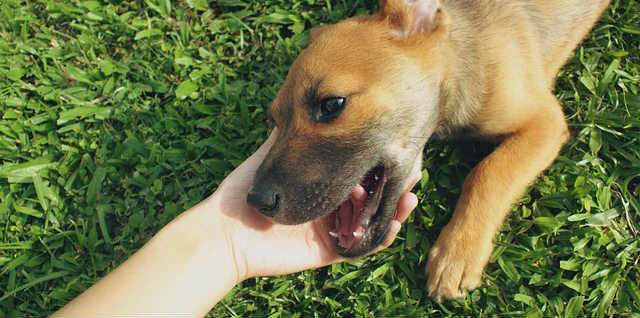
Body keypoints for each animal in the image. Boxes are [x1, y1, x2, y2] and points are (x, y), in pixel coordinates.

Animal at [245, 0, 608, 300]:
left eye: (332, 104)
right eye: (273, 121)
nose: (255, 202)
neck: (458, 57)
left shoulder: (545, 122)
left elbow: (488, 172)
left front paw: (457, 253)